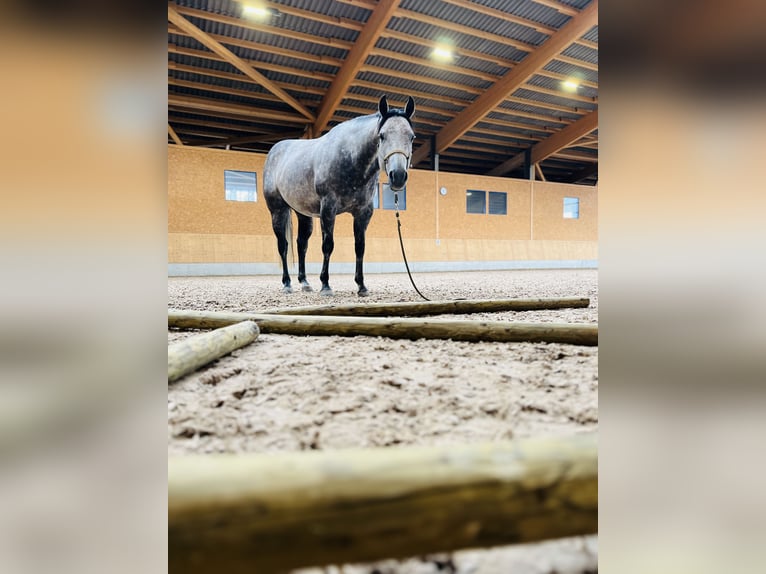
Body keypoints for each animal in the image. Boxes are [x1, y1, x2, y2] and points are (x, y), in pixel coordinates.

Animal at [263, 95, 416, 297]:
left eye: (412, 136)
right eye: (382, 136)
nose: (398, 176)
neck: (351, 159)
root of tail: (274, 152)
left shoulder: (363, 212)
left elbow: (360, 247)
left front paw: (361, 286)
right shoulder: (328, 208)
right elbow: (328, 245)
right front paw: (325, 285)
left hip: (303, 214)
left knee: (301, 244)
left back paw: (304, 282)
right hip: (277, 210)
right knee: (283, 245)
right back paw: (287, 283)